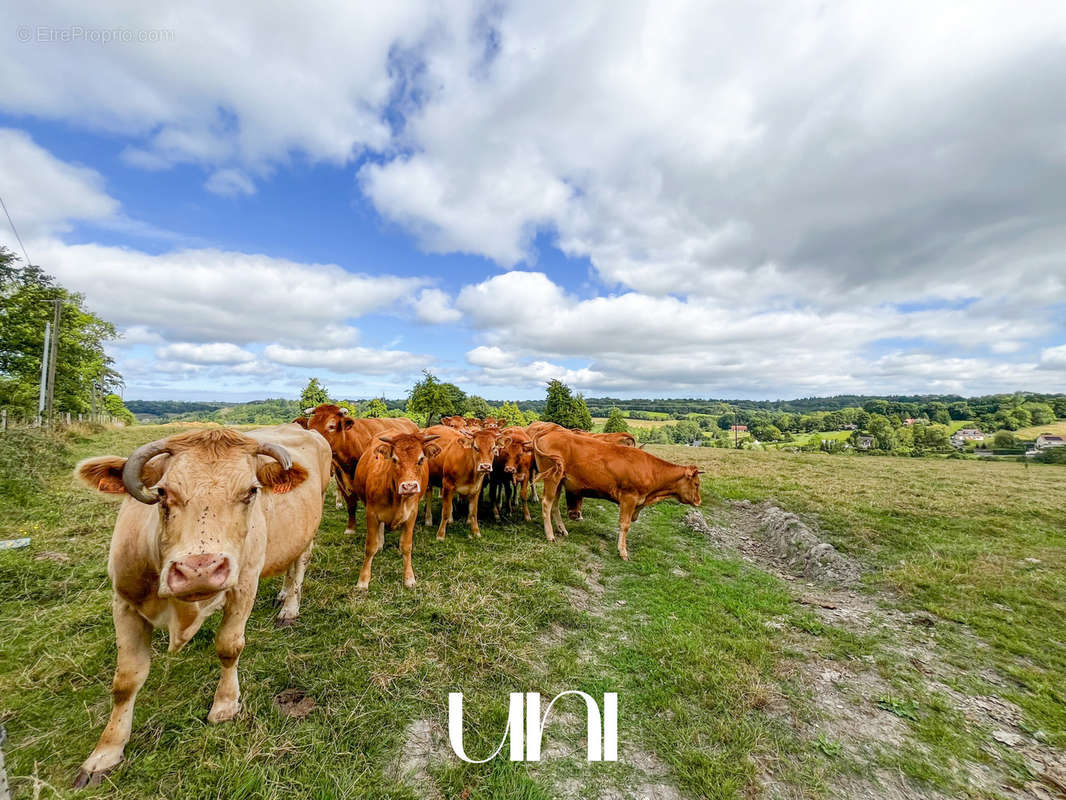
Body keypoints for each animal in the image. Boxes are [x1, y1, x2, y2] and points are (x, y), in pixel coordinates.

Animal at [71, 426, 328, 789]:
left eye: (251, 491)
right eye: (162, 491)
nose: (199, 570)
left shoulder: (244, 585)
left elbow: (229, 647)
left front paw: (225, 704)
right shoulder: (123, 601)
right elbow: (126, 680)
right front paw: (105, 752)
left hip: (307, 533)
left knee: (299, 565)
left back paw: (289, 606)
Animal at [351, 433, 439, 588]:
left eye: (421, 459)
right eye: (394, 459)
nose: (409, 486)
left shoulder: (411, 515)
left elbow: (406, 546)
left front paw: (409, 578)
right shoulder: (371, 514)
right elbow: (370, 547)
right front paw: (363, 581)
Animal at [530, 428, 699, 558]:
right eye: (696, 484)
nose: (699, 501)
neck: (650, 470)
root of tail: (549, 432)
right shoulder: (629, 498)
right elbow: (624, 525)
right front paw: (623, 551)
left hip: (559, 480)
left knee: (554, 505)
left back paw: (562, 530)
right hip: (552, 478)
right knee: (547, 503)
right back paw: (550, 536)